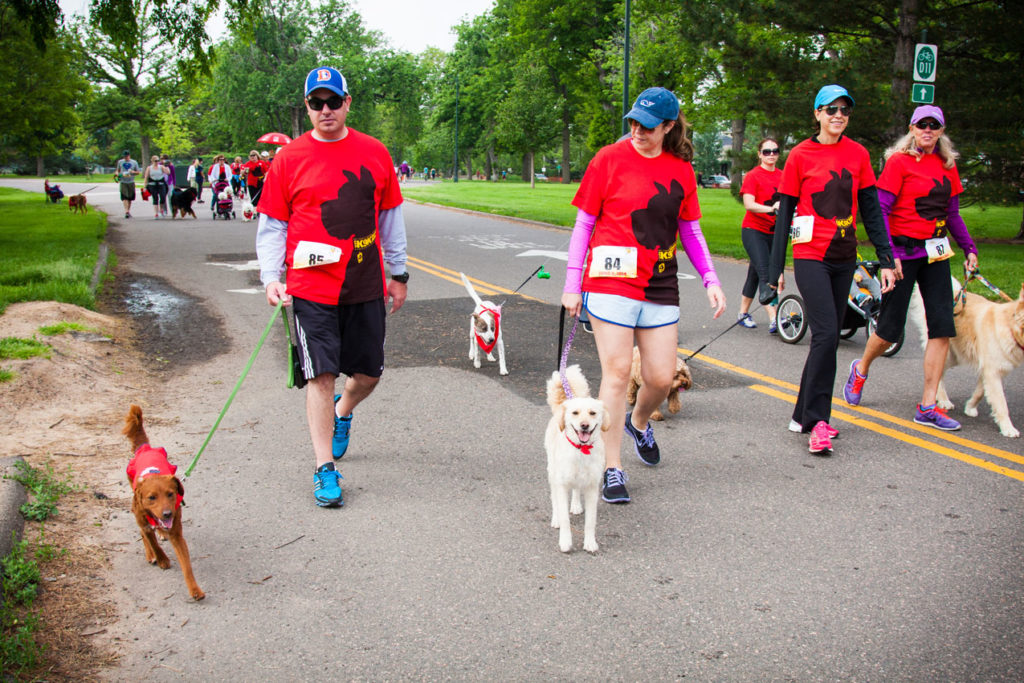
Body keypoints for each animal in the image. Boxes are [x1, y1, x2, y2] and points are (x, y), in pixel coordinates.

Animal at [122, 403, 203, 602]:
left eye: (170, 494)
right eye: (151, 497)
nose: (167, 514)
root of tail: (145, 447)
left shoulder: (176, 533)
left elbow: (186, 565)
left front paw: (195, 589)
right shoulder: (143, 520)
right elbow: (152, 542)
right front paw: (162, 559)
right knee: (144, 535)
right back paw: (151, 554)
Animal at [544, 366, 606, 552]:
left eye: (592, 413)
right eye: (575, 413)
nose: (584, 425)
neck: (581, 450)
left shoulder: (592, 487)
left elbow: (591, 521)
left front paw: (590, 543)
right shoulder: (562, 483)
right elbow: (565, 518)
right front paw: (565, 541)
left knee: (577, 490)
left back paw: (576, 505)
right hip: (553, 472)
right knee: (554, 498)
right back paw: (556, 518)